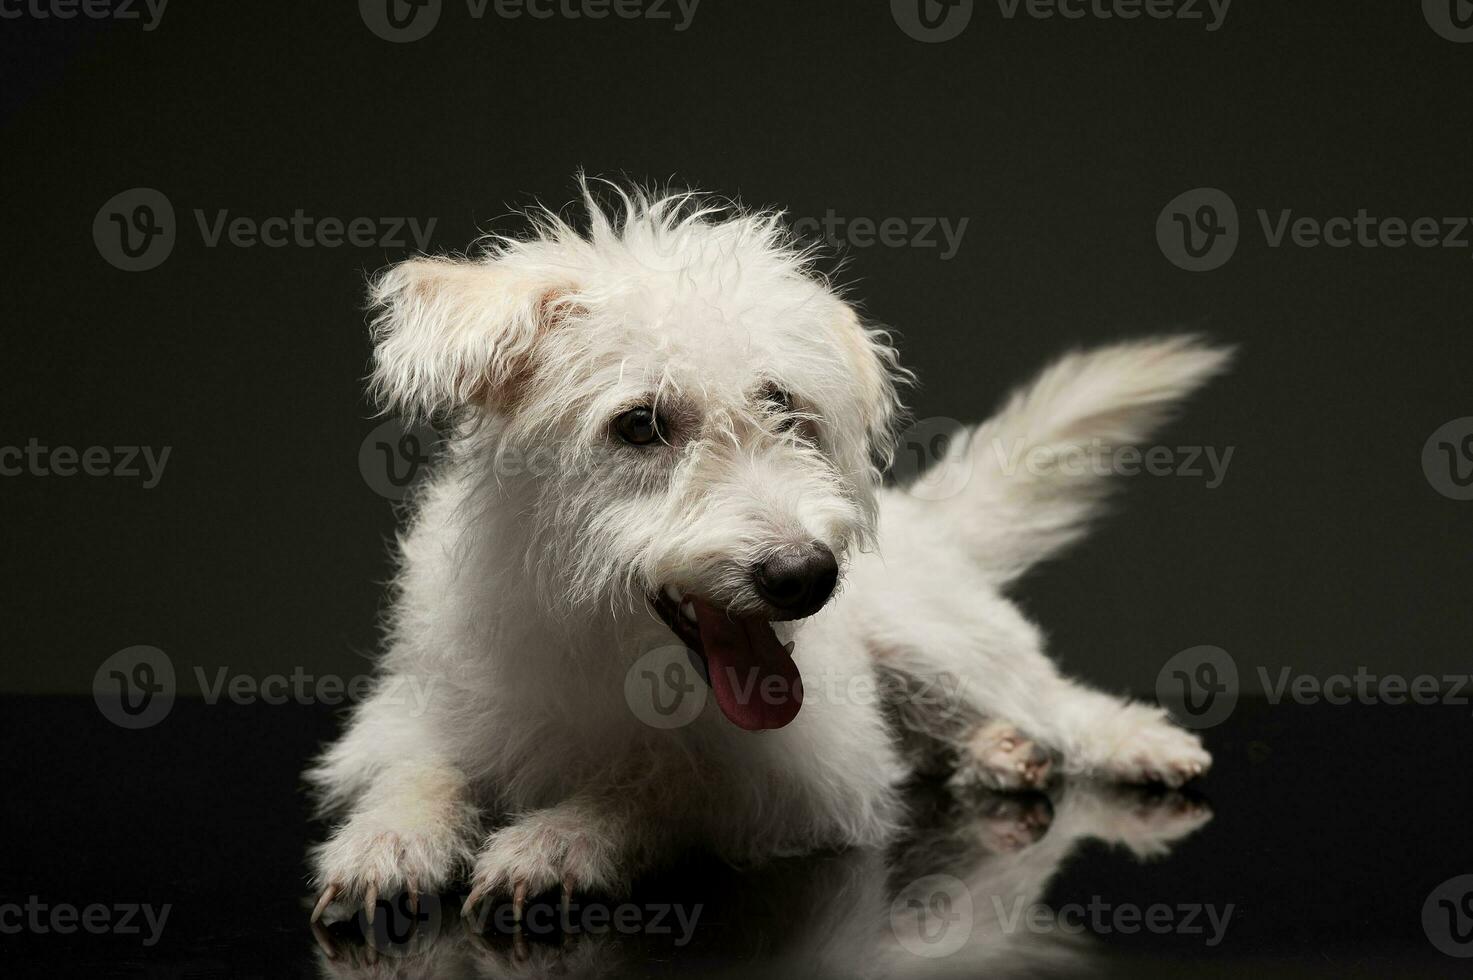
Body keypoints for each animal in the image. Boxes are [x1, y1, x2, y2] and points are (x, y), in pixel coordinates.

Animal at [304, 181, 1225, 925]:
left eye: (783, 407)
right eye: (639, 424)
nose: (804, 575)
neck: (610, 647)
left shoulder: (790, 782)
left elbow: (657, 786)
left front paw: (561, 839)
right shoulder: (413, 711)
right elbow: (418, 769)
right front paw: (388, 842)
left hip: (942, 642)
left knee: (1057, 700)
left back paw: (1128, 743)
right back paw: (996, 753)